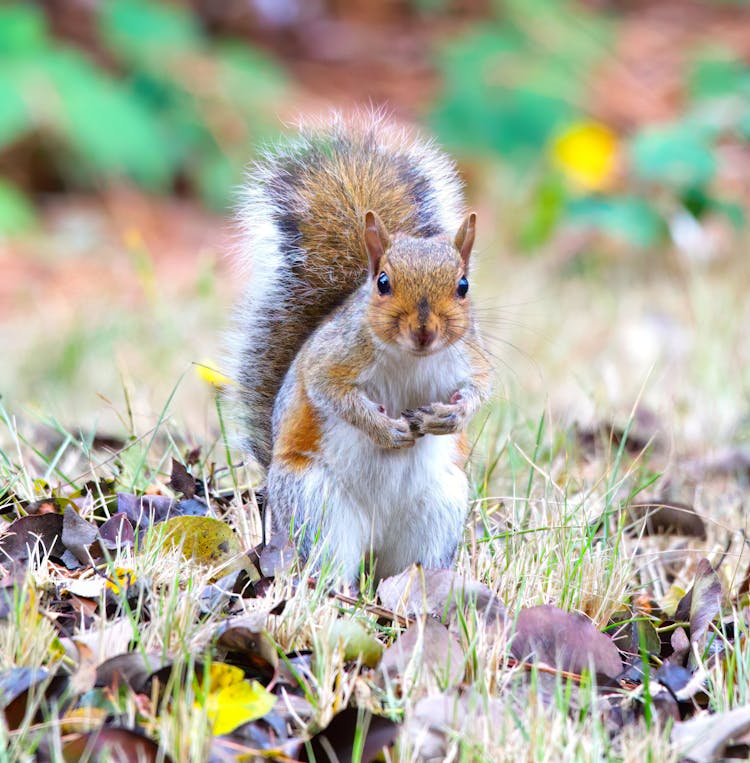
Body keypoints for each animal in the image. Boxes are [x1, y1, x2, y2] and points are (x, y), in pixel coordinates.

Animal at [232, 110, 496, 580]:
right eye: (383, 283)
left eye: (463, 286)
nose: (424, 331)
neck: (411, 358)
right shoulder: (332, 359)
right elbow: (331, 393)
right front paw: (384, 430)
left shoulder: (472, 356)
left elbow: (482, 388)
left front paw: (451, 416)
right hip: (317, 509)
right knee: (329, 564)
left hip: (440, 510)